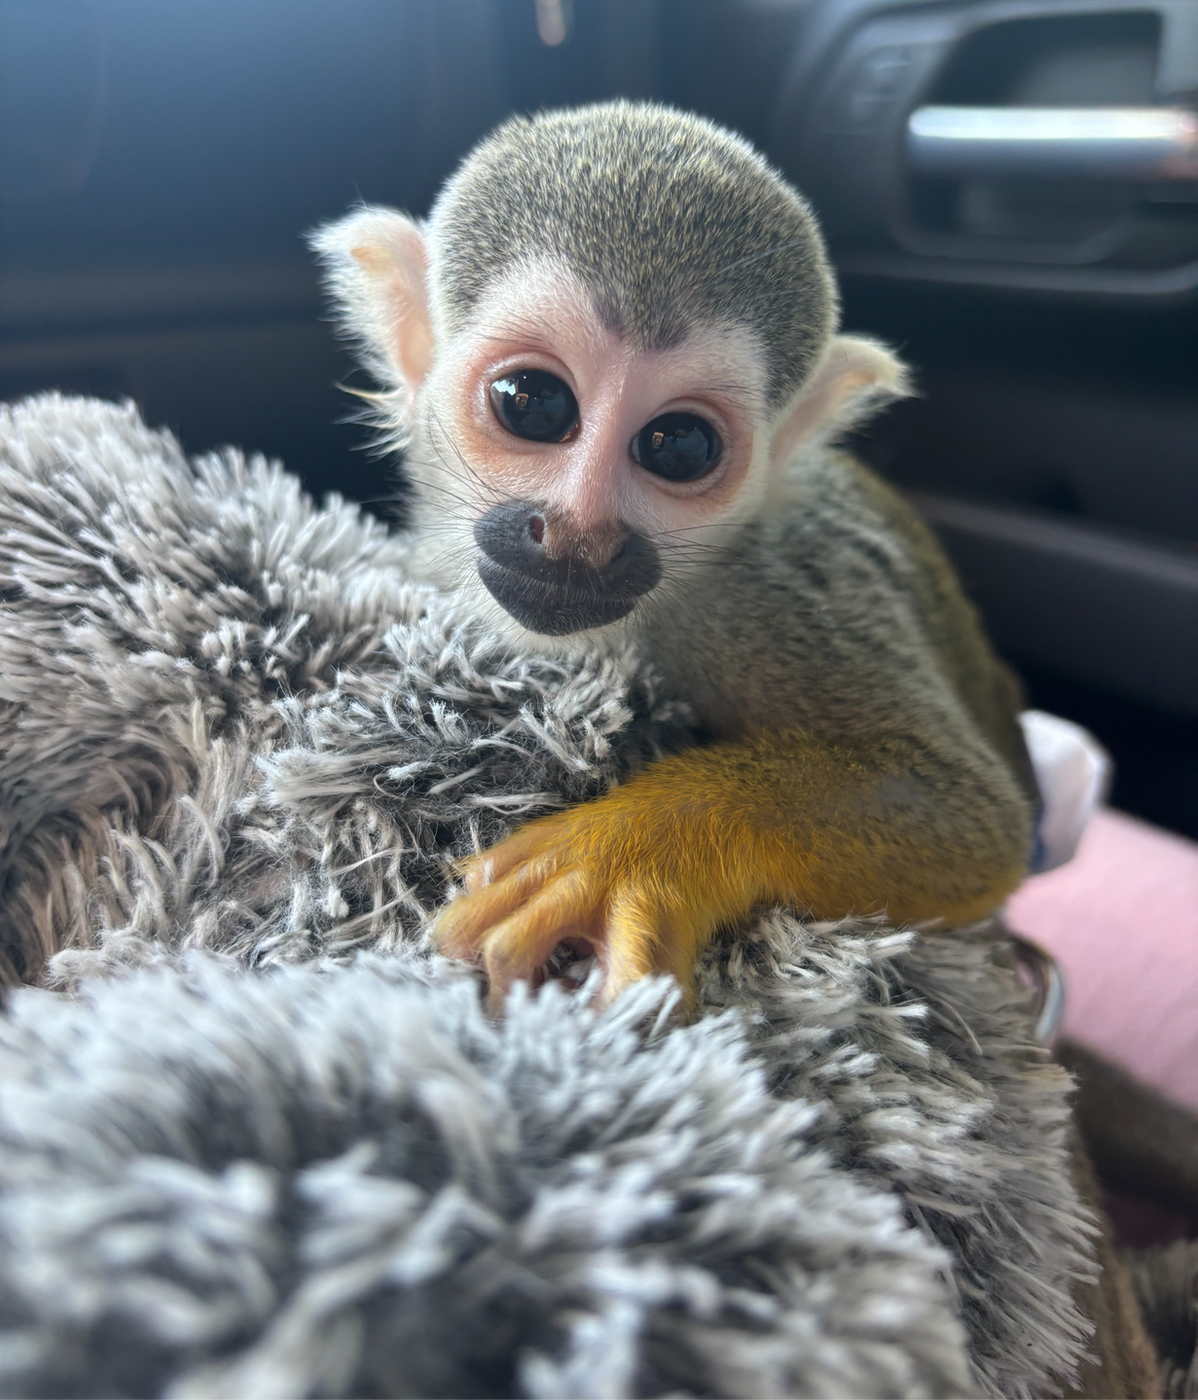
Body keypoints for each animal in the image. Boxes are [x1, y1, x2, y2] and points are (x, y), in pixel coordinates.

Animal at [312, 99, 1037, 1011]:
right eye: (533, 402)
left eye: (680, 446)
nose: (578, 531)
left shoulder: (771, 600)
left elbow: (975, 818)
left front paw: (638, 847)